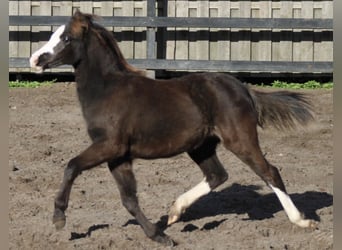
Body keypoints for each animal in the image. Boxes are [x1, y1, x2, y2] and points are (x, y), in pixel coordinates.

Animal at [29, 10, 318, 246]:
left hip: (240, 139)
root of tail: (243, 88)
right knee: (217, 175)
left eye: (66, 38)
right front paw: (159, 235)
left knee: (269, 172)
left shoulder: (109, 145)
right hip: (201, 146)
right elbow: (129, 199)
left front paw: (58, 218)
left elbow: (72, 166)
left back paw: (302, 220)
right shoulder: (118, 155)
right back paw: (175, 212)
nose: (35, 59)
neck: (107, 90)